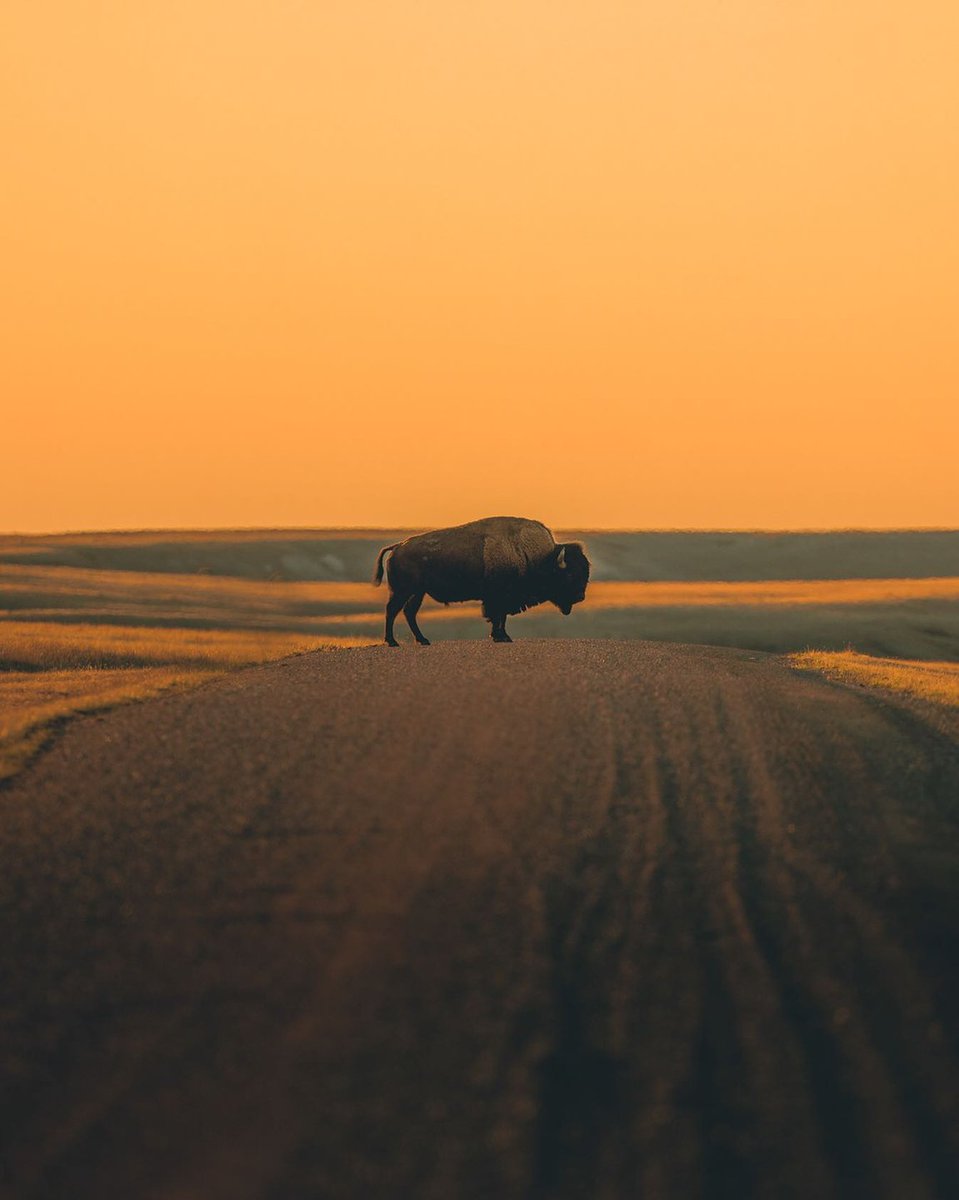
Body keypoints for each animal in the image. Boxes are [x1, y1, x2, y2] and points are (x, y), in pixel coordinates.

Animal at [372, 516, 588, 648]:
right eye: (570, 575)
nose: (580, 597)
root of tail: (398, 547)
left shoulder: (502, 598)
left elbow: (501, 617)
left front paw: (502, 636)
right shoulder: (498, 597)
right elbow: (497, 616)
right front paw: (501, 637)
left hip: (417, 592)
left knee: (409, 612)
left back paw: (423, 640)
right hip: (403, 591)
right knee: (392, 610)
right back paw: (392, 642)